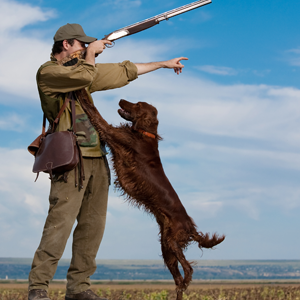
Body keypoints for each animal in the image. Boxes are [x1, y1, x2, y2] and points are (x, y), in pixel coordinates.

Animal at [76, 89, 224, 300]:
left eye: (137, 104)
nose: (120, 99)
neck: (144, 133)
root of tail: (190, 227)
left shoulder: (111, 133)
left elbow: (95, 112)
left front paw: (80, 92)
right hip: (166, 248)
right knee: (178, 278)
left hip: (173, 241)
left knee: (188, 269)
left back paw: (186, 280)